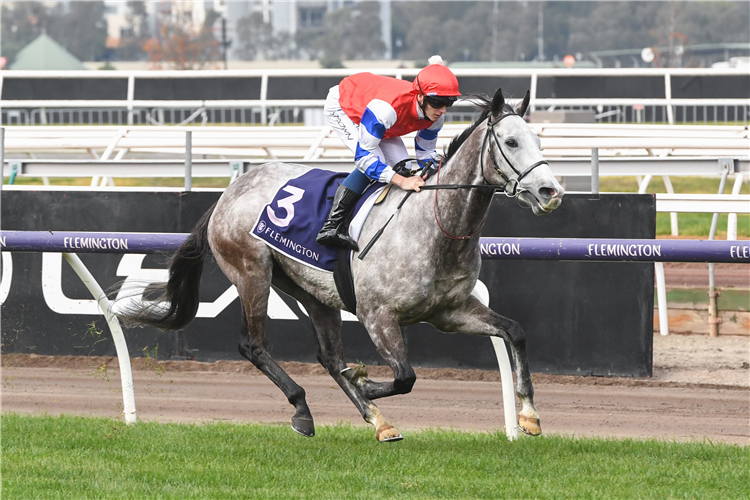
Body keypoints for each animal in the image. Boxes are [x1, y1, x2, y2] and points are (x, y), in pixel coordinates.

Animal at [119, 89, 564, 442]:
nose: (551, 191)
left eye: (538, 140)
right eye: (511, 141)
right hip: (251, 273)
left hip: (311, 291)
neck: (434, 226)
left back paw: (378, 420)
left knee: (329, 356)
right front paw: (364, 382)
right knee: (254, 345)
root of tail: (228, 193)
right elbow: (405, 376)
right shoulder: (377, 315)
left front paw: (529, 415)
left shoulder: (450, 312)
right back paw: (304, 409)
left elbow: (514, 332)